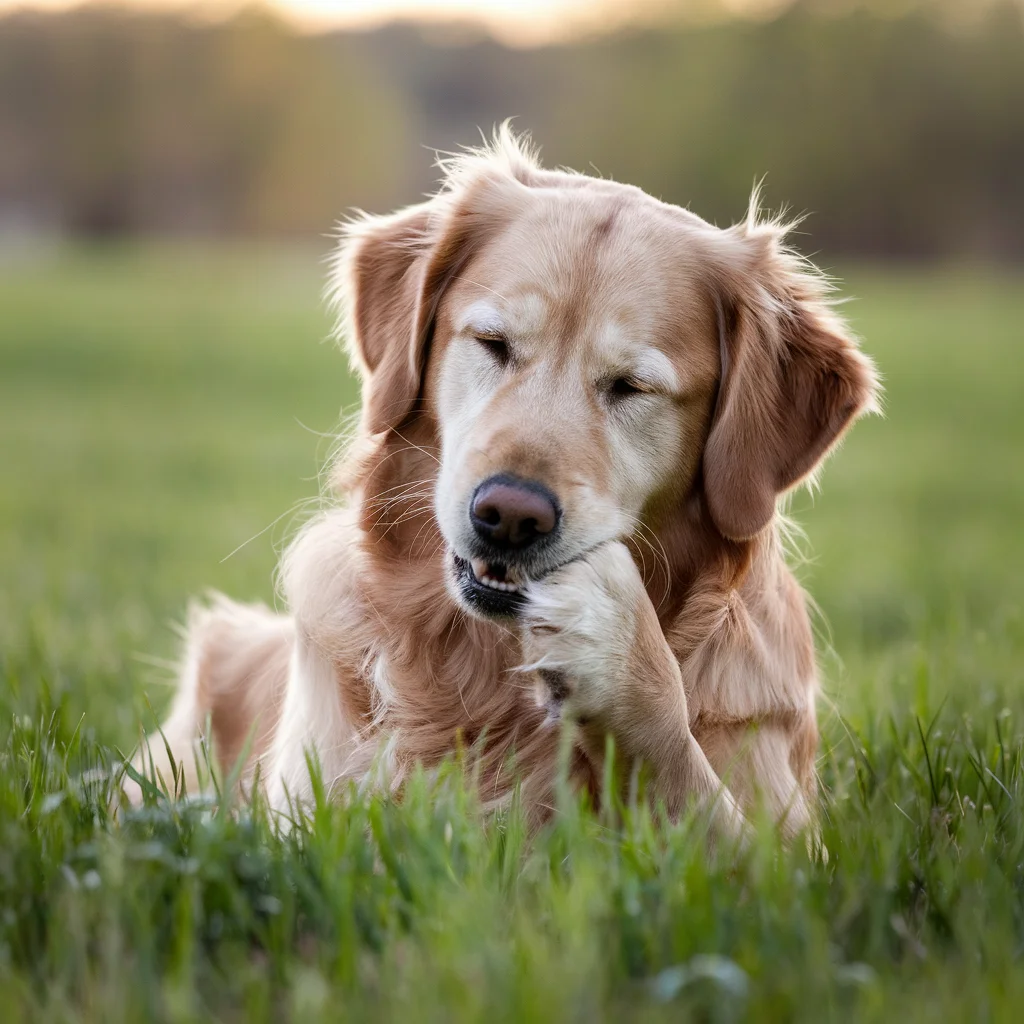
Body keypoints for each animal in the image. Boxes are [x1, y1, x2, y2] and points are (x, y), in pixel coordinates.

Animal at [130, 125, 880, 839]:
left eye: (632, 386)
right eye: (493, 343)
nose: (510, 515)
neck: (489, 674)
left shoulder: (790, 848)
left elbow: (702, 800)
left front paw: (621, 653)